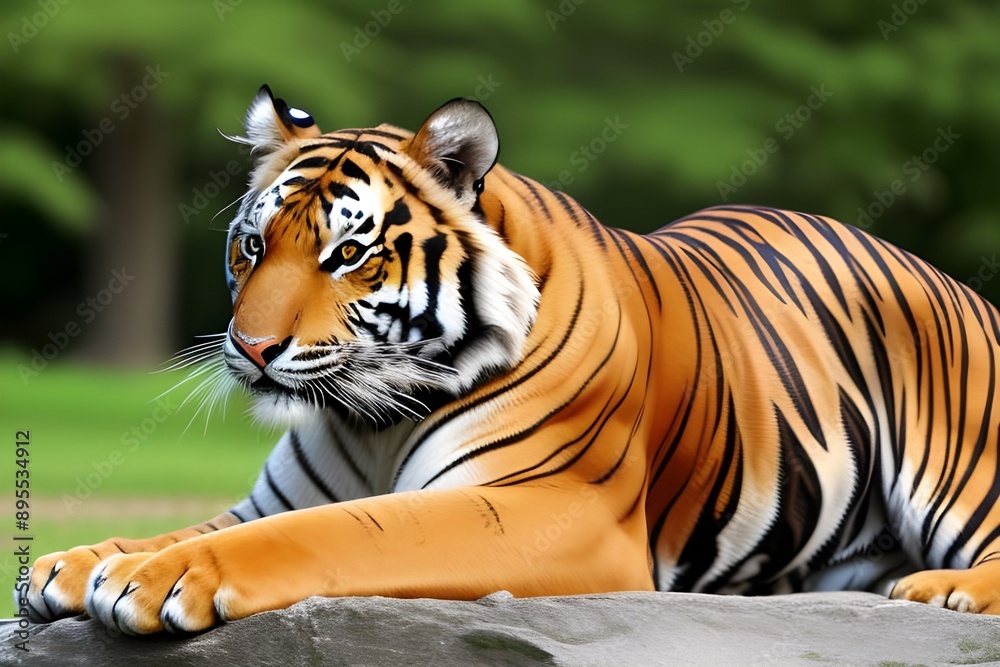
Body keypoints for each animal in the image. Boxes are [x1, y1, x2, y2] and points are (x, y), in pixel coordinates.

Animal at [19, 86, 1000, 635]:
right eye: (253, 247)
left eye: (345, 254)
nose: (252, 348)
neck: (372, 413)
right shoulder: (273, 497)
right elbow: (194, 524)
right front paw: (77, 561)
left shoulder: (555, 509)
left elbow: (342, 531)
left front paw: (158, 579)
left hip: (956, 465)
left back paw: (941, 590)